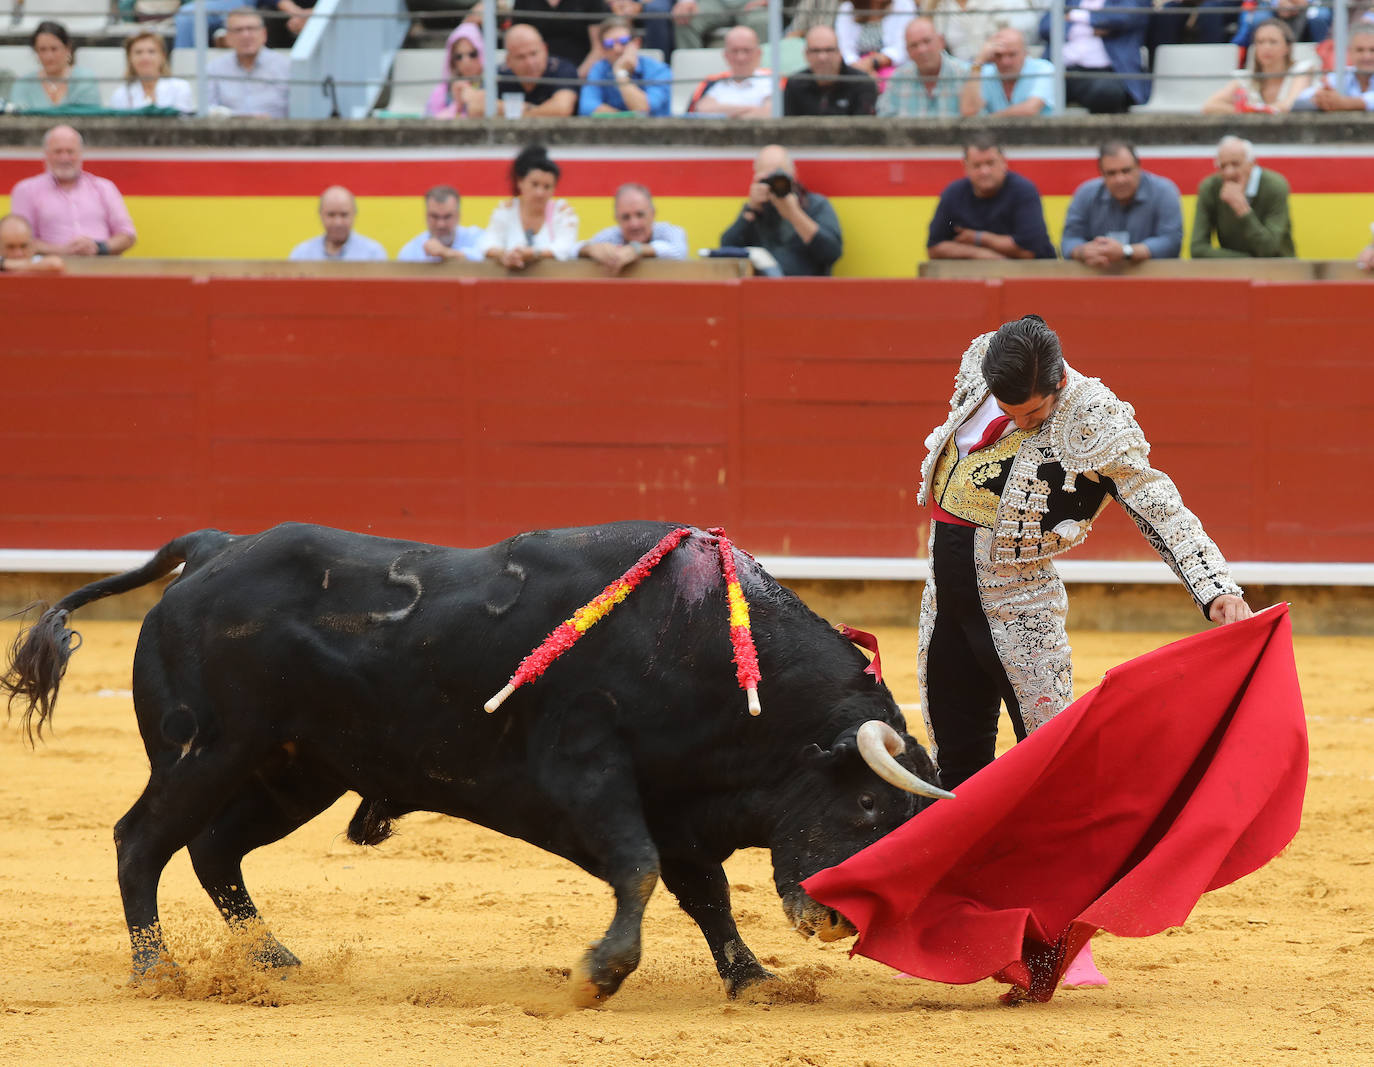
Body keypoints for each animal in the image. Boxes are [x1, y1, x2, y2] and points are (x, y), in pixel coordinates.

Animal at [2, 519, 945, 1005]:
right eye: (866, 807)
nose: (840, 922)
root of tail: (211, 549)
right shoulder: (590, 770)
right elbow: (639, 868)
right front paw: (600, 974)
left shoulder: (677, 807)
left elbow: (703, 892)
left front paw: (753, 979)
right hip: (205, 751)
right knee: (140, 840)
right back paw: (157, 968)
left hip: (294, 771)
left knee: (212, 848)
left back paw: (270, 957)